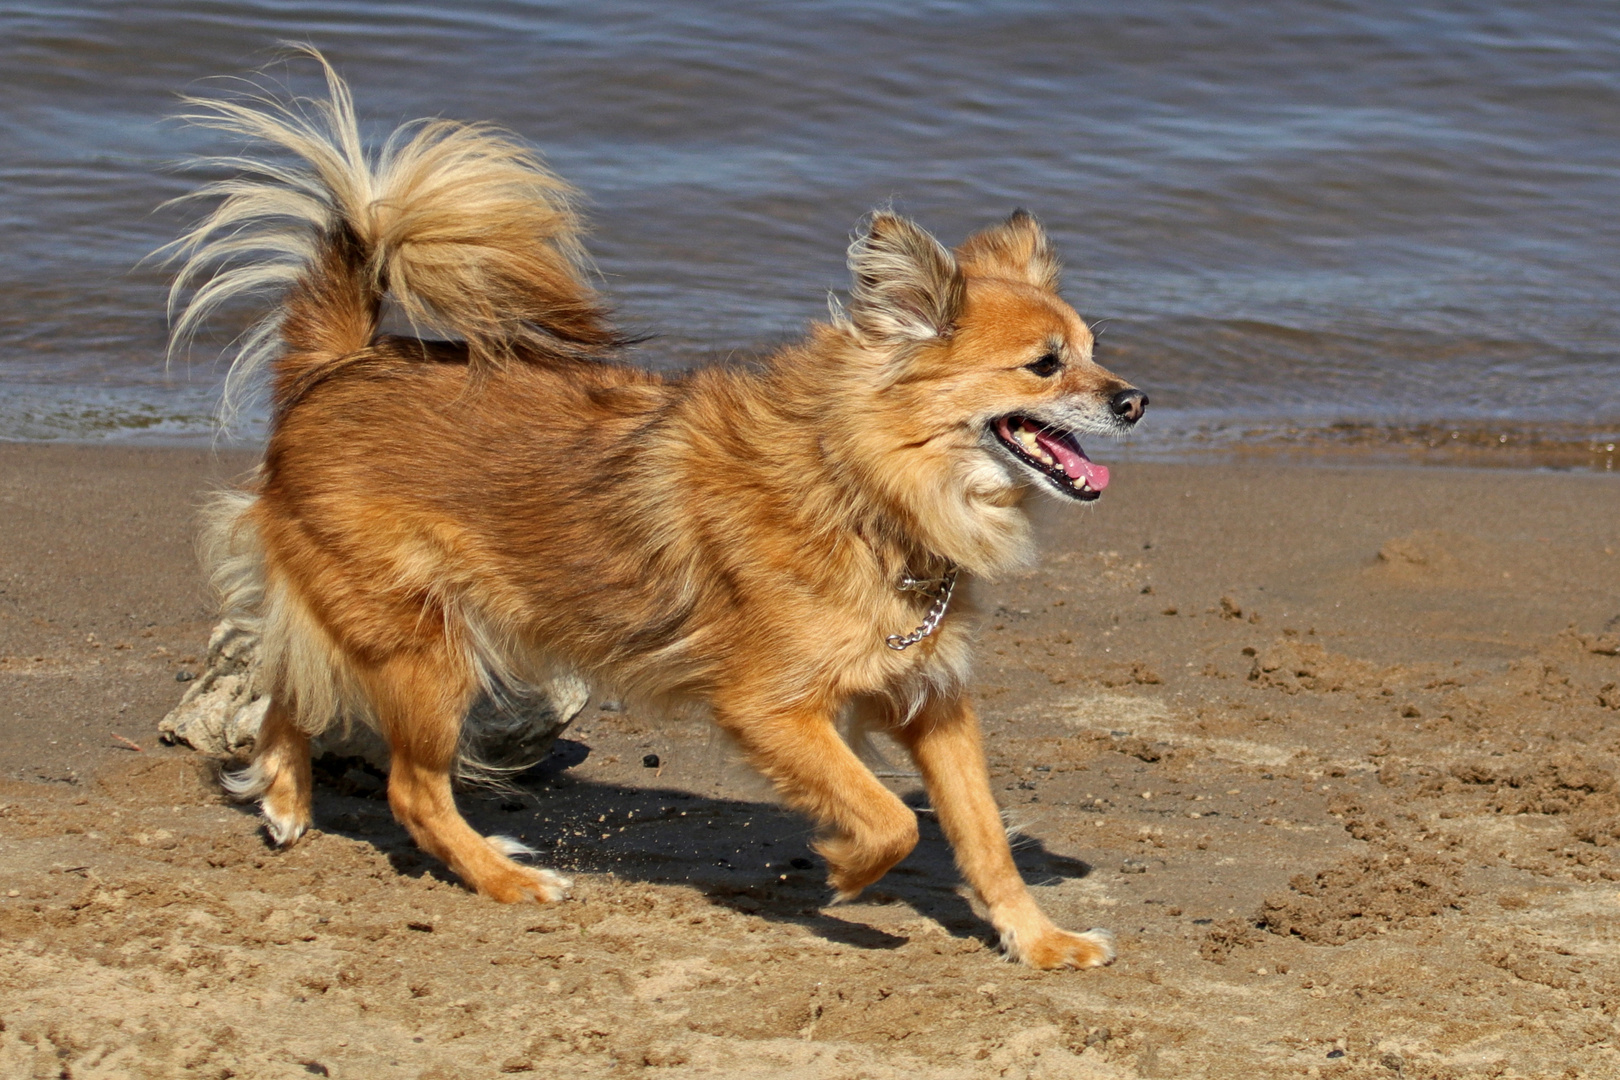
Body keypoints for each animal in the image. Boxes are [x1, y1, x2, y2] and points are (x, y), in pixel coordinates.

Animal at [170, 50, 1146, 965]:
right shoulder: (768, 707)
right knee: (410, 785)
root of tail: (338, 366)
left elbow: (982, 834)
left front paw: (1040, 939)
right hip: (427, 648)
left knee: (291, 682)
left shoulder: (931, 701)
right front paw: (845, 869)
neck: (862, 489)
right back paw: (504, 878)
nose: (1137, 400)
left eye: (1094, 351)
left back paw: (285, 797)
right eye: (1046, 365)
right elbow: (891, 819)